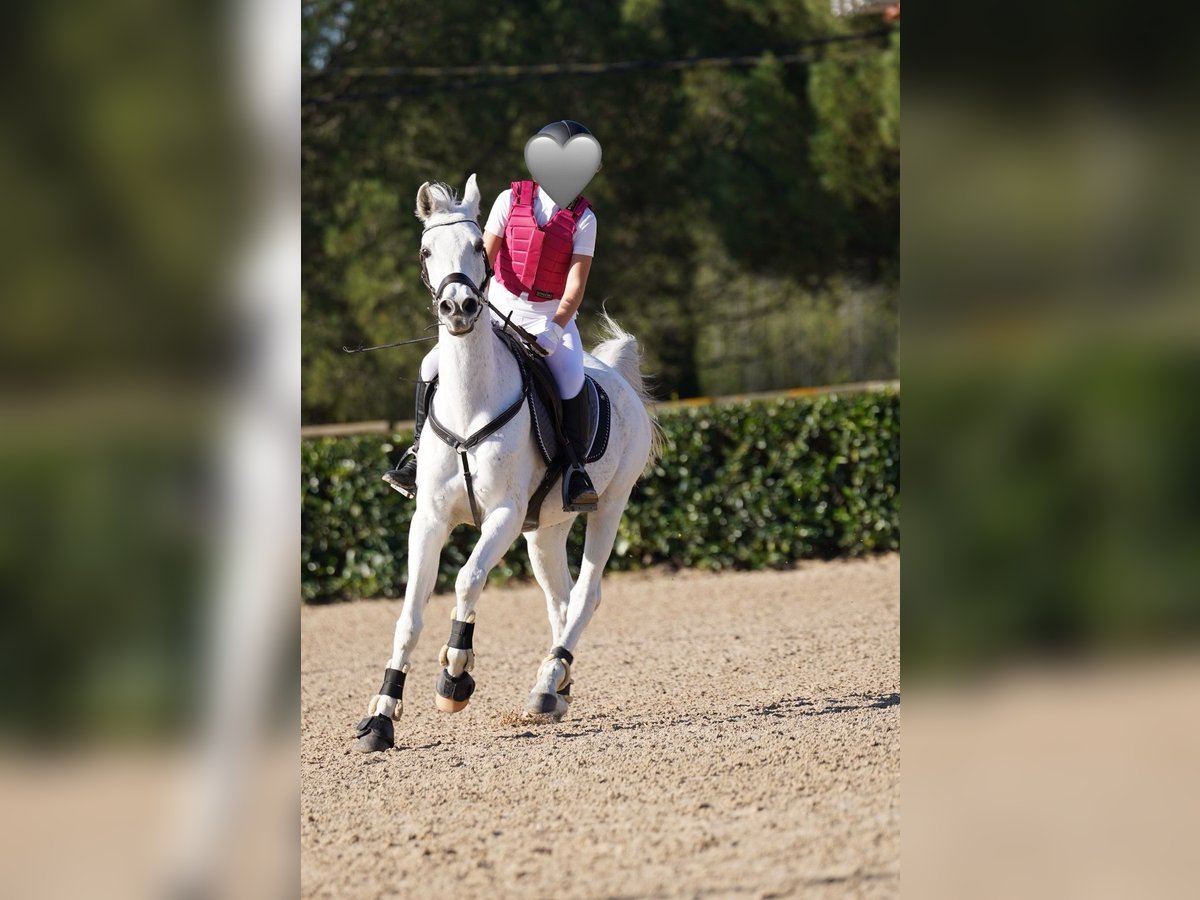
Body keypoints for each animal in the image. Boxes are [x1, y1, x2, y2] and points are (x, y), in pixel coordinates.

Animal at [350, 172, 662, 748]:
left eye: (479, 248)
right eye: (426, 250)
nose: (458, 309)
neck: (471, 399)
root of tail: (614, 374)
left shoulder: (503, 515)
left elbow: (466, 579)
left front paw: (455, 676)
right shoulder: (430, 519)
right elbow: (409, 615)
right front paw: (381, 716)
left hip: (609, 506)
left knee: (586, 594)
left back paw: (546, 685)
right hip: (546, 529)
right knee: (561, 599)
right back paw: (555, 686)